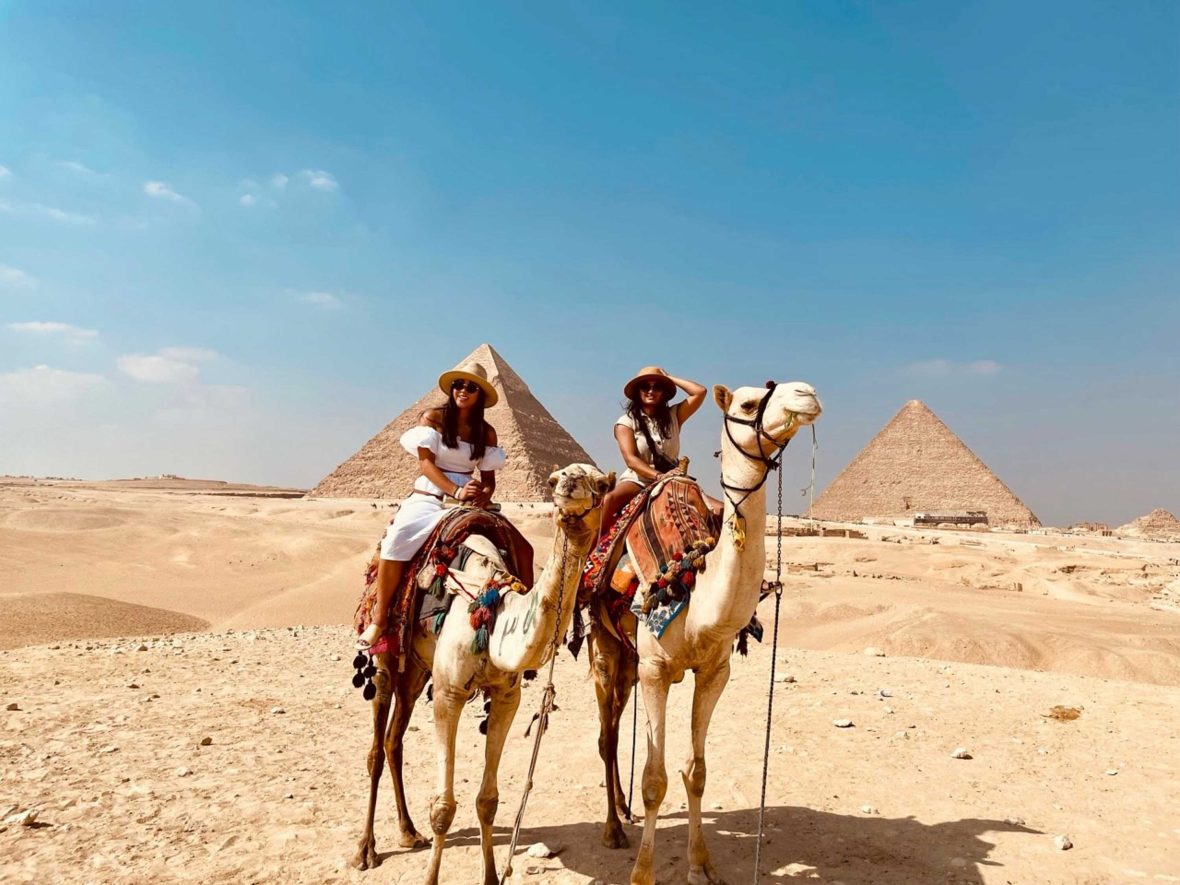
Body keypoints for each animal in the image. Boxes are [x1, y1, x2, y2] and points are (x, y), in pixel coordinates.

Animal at [344, 464, 613, 882]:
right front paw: (430, 875)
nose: (569, 485)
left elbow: (488, 800)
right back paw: (365, 850)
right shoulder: (449, 693)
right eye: (555, 480)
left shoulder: (507, 696)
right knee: (375, 747)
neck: (493, 607)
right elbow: (443, 808)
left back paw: (408, 832)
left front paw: (490, 874)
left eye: (601, 483)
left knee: (393, 741)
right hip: (387, 657)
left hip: (416, 670)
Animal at [587, 382, 821, 885]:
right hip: (604, 644)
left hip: (629, 659)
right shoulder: (656, 670)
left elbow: (696, 772)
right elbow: (654, 780)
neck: (695, 590)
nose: (807, 393)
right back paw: (613, 828)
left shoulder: (715, 671)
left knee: (615, 721)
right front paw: (642, 873)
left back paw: (623, 811)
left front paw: (702, 865)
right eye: (748, 404)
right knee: (607, 734)